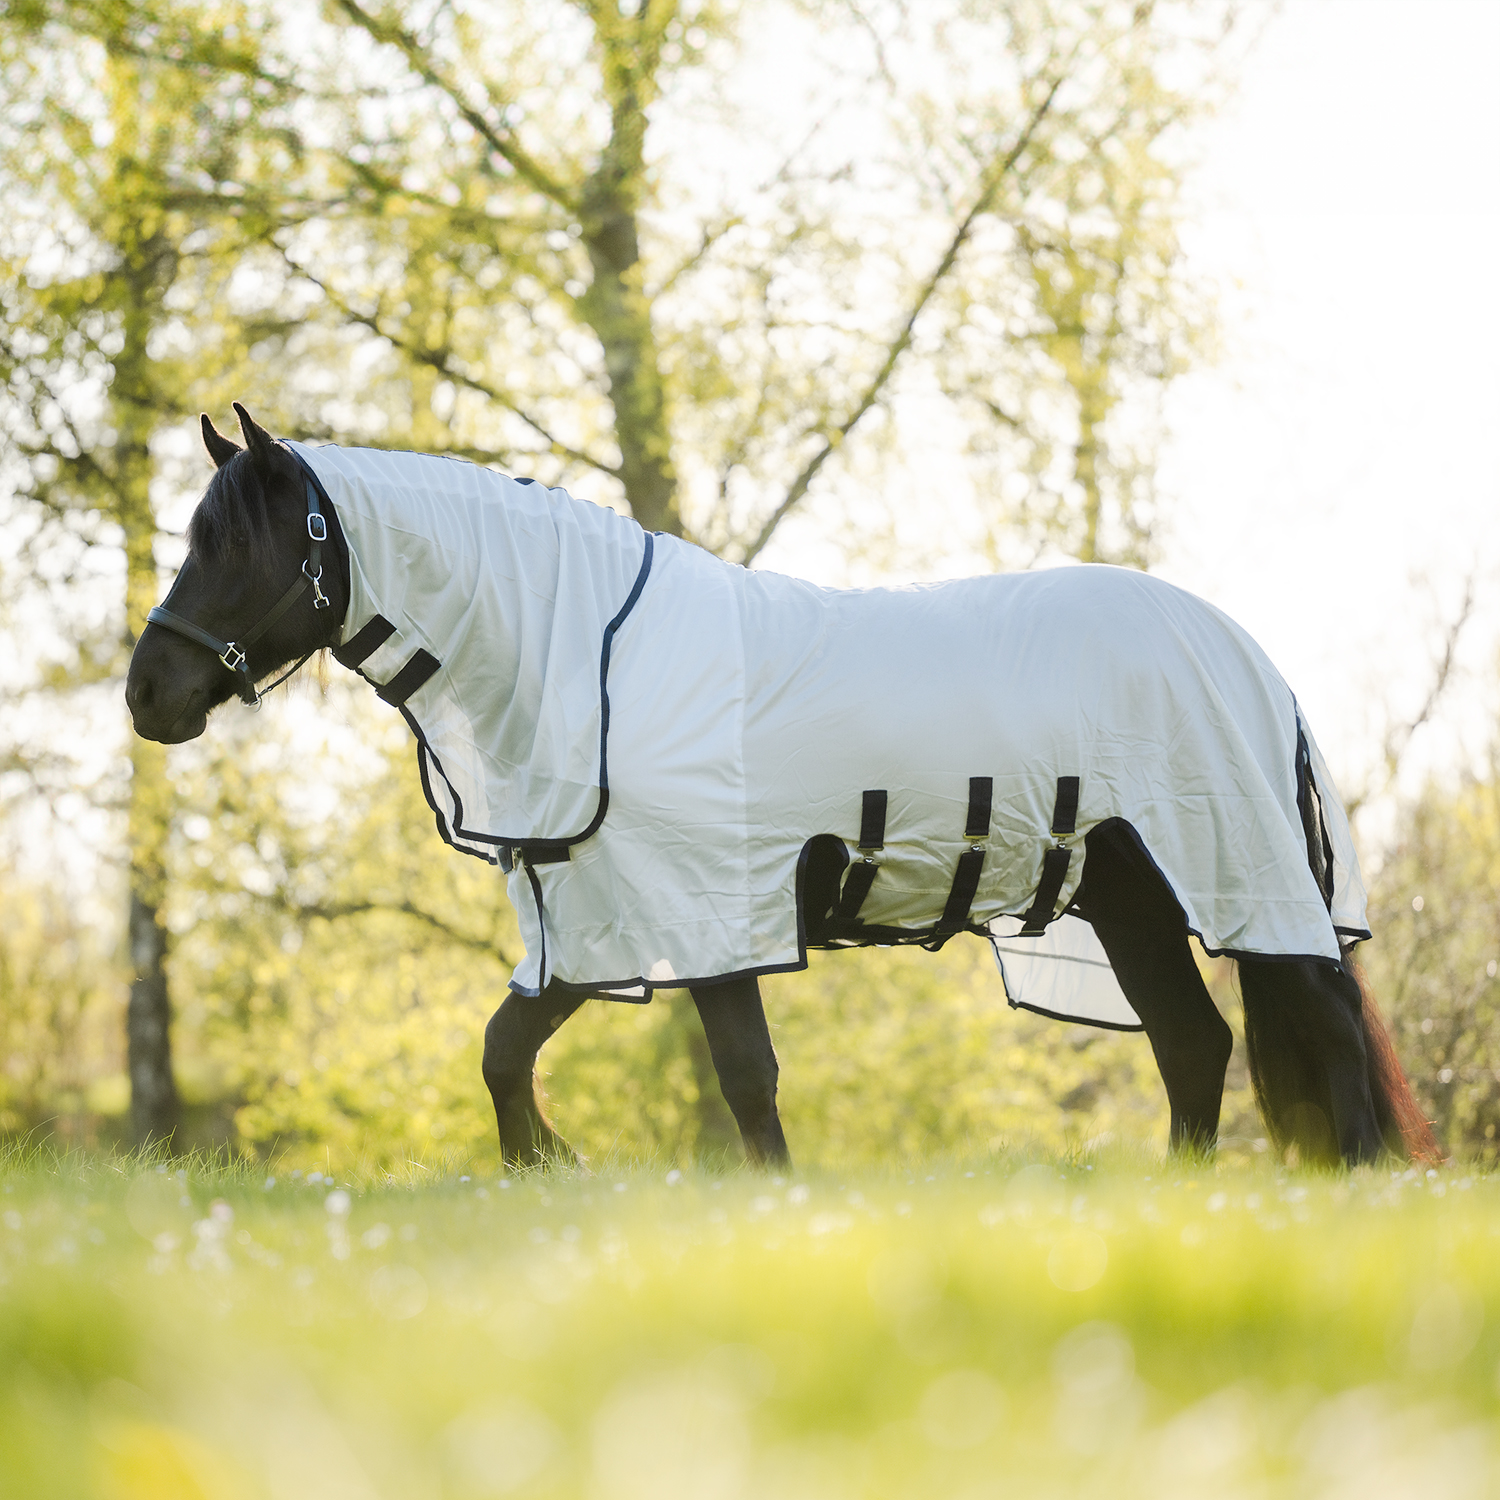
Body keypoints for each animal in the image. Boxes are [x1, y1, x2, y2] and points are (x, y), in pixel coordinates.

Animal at [125, 405, 1438, 1170]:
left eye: (234, 544)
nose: (149, 695)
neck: (589, 659)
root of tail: (1248, 655)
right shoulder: (599, 922)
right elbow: (502, 1048)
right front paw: (545, 1162)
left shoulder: (710, 917)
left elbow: (745, 1081)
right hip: (1129, 895)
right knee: (1194, 1044)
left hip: (1231, 876)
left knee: (1316, 1024)